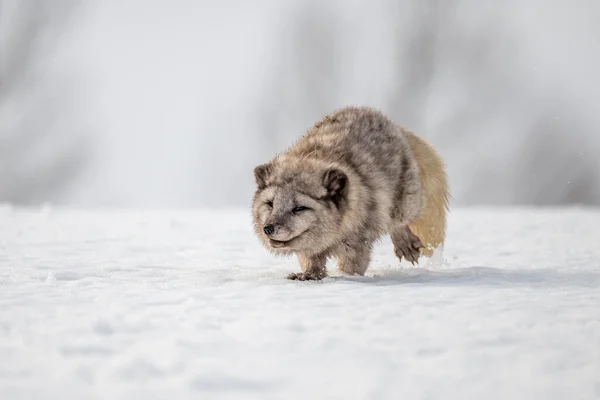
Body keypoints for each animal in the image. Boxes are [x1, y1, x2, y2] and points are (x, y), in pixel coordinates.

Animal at [251, 106, 448, 282]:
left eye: (299, 208)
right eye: (270, 203)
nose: (268, 228)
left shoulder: (358, 243)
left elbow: (352, 267)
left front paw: (346, 277)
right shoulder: (309, 250)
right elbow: (311, 261)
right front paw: (309, 275)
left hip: (405, 201)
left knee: (398, 222)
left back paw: (405, 244)